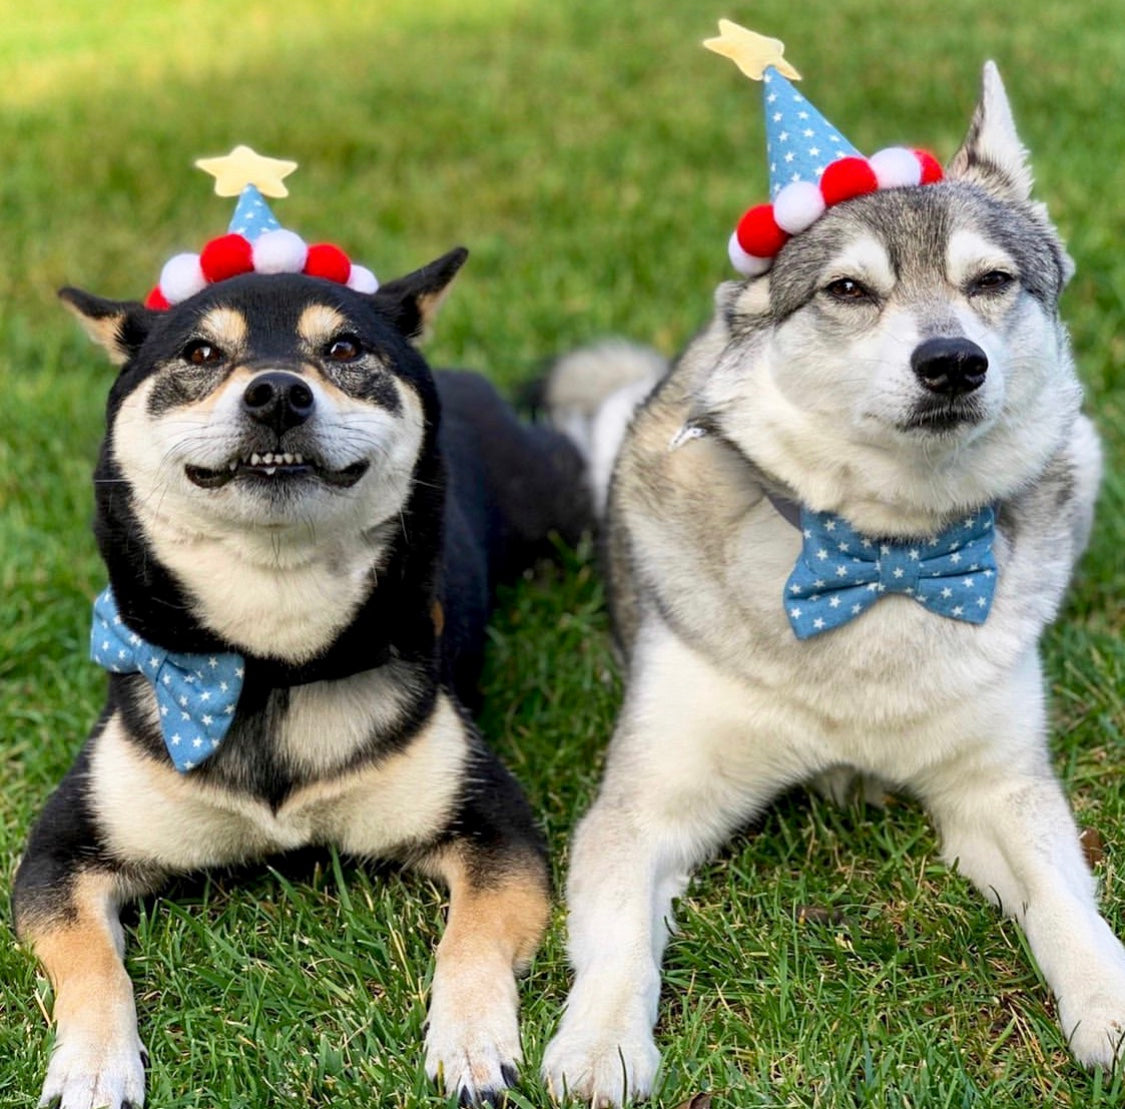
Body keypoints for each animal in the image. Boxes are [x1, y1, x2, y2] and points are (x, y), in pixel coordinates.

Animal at [13, 250, 589, 1106]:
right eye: (201, 353)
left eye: (345, 348)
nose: (278, 391)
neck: (273, 662)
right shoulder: (62, 848)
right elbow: (87, 959)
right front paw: (91, 1064)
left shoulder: (495, 826)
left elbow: (472, 938)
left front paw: (472, 1041)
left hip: (558, 508)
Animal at [540, 64, 1120, 1102]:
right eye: (848, 290)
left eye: (990, 282)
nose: (951, 362)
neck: (883, 554)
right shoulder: (642, 807)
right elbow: (617, 946)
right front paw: (598, 1042)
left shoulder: (1000, 785)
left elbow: (1066, 897)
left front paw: (1107, 995)